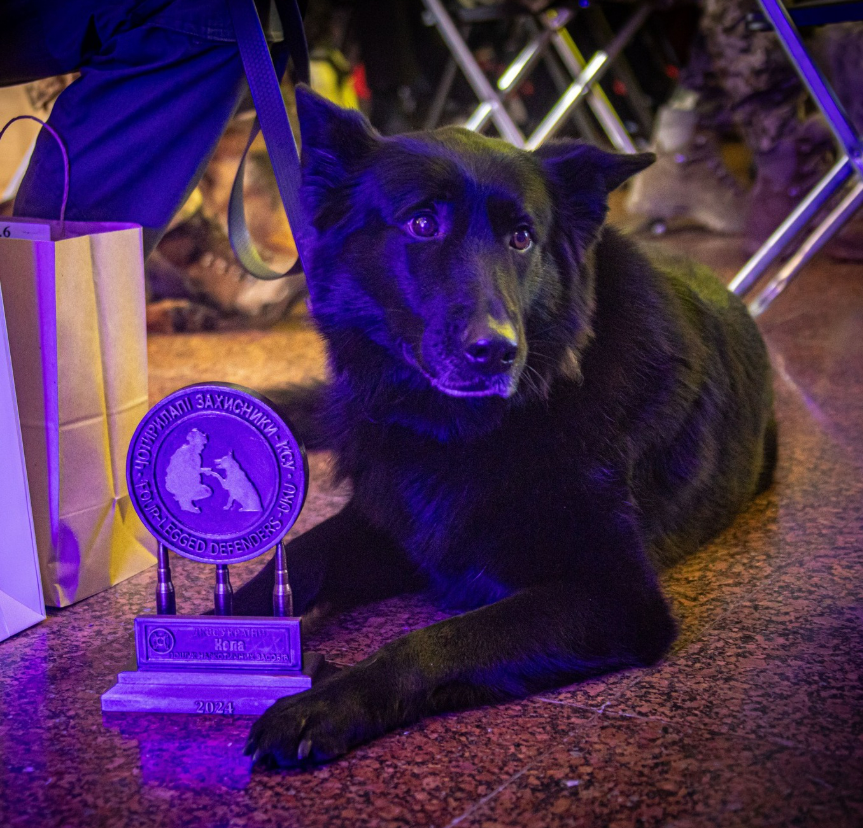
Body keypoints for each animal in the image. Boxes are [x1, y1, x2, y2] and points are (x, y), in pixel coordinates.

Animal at [238, 89, 776, 768]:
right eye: (422, 224)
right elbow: (303, 556)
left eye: (522, 238)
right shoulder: (390, 525)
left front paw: (326, 702)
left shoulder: (617, 594)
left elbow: (435, 640)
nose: (495, 351)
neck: (462, 433)